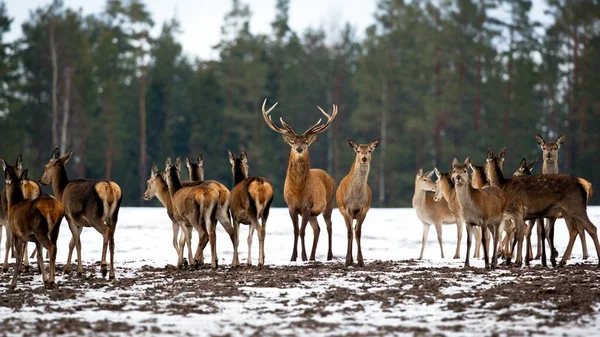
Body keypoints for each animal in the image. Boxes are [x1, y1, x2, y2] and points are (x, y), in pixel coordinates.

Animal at [39, 147, 122, 278]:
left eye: (46, 166)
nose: (40, 180)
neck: (61, 193)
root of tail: (109, 188)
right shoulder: (80, 223)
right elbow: (72, 243)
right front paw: (67, 269)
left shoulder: (69, 217)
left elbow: (78, 243)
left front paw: (79, 271)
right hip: (113, 216)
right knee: (112, 237)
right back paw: (112, 273)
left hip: (94, 216)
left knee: (106, 232)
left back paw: (103, 266)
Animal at [262, 98, 338, 262]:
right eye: (292, 142)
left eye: (306, 142)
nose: (299, 148)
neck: (297, 191)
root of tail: (330, 177)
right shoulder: (291, 207)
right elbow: (296, 231)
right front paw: (293, 257)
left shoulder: (307, 206)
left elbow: (302, 231)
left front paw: (302, 256)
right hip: (314, 214)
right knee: (317, 229)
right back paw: (313, 256)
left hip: (329, 203)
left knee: (329, 226)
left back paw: (329, 255)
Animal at [338, 138, 380, 266]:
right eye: (358, 150)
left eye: (370, 150)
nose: (364, 158)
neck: (356, 198)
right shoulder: (346, 209)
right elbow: (349, 233)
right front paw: (347, 261)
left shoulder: (364, 210)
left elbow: (358, 232)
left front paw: (361, 261)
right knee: (350, 230)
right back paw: (350, 260)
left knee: (354, 230)